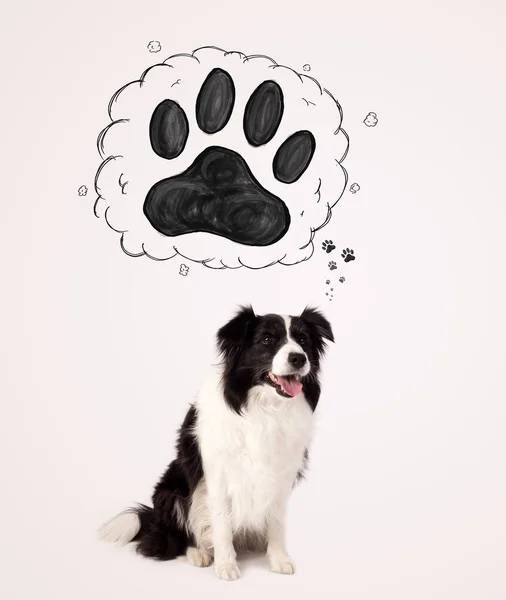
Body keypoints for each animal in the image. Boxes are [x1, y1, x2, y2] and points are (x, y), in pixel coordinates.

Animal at [100, 308, 334, 580]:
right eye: (267, 339)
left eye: (303, 340)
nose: (298, 358)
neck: (264, 410)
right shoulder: (217, 476)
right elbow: (221, 525)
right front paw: (226, 565)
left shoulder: (281, 474)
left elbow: (277, 521)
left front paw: (278, 558)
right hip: (172, 489)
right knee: (181, 533)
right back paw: (198, 552)